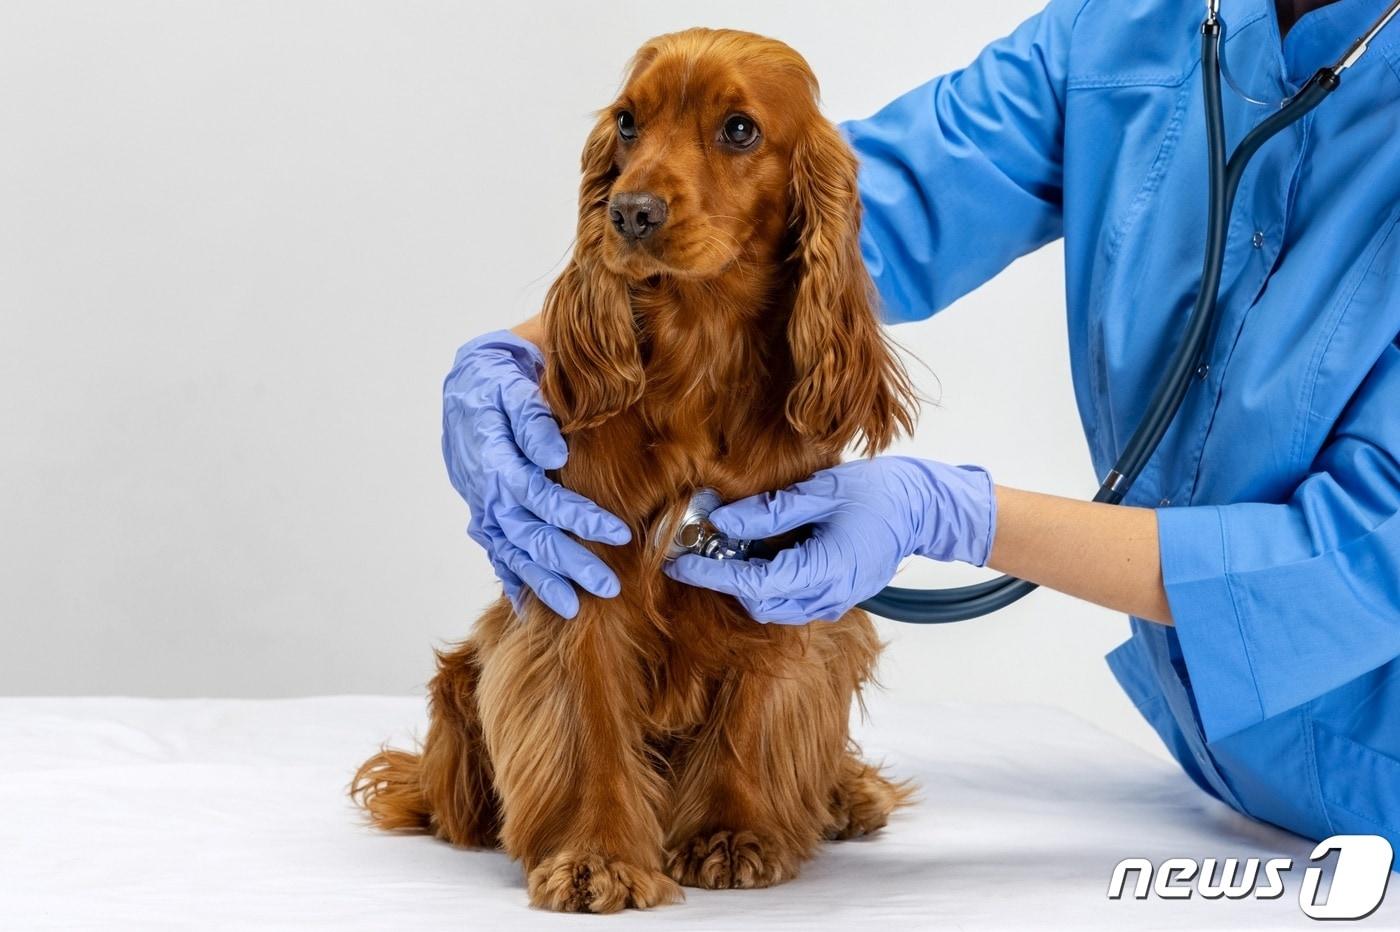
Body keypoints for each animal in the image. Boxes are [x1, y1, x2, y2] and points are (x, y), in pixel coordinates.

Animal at [355, 27, 912, 906]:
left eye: (739, 129)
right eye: (626, 122)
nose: (629, 211)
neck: (701, 343)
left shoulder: (779, 572)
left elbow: (754, 710)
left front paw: (729, 832)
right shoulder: (582, 572)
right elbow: (588, 725)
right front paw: (599, 856)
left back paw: (844, 795)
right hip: (463, 684)